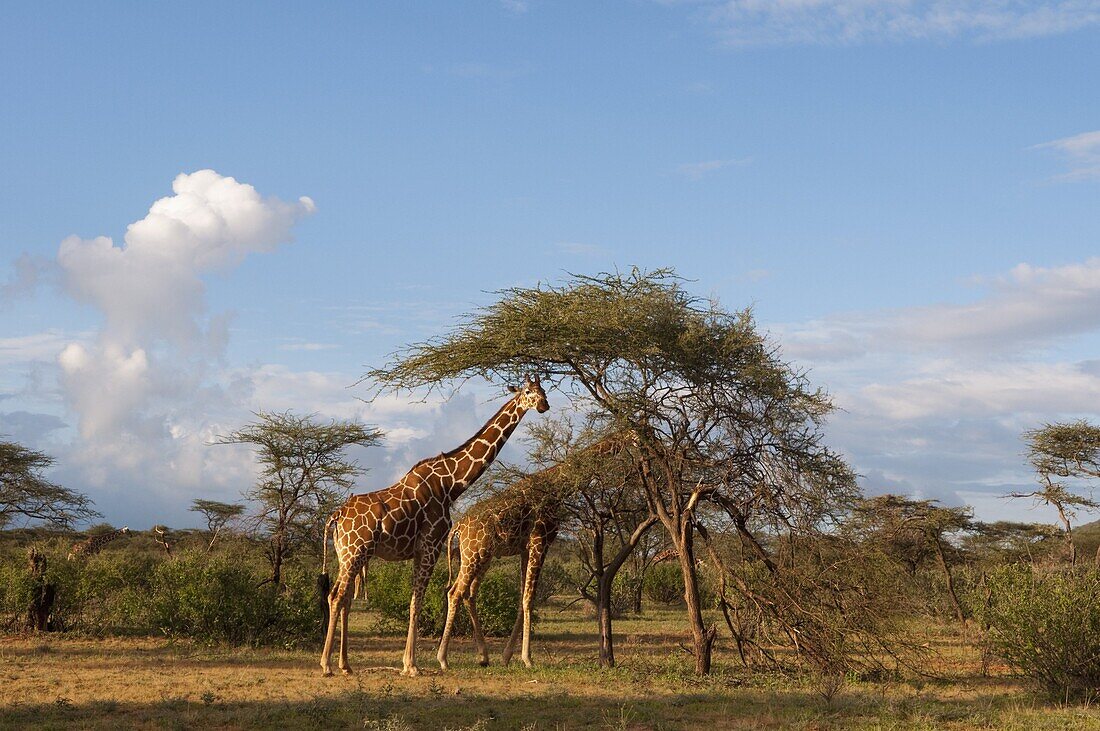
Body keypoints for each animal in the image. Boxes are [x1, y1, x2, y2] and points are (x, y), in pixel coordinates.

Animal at [319, 378, 550, 677]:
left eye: (544, 391)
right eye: (529, 392)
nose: (544, 406)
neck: (451, 484)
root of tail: (336, 516)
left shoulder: (423, 550)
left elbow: (414, 601)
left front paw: (409, 662)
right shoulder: (431, 545)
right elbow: (417, 602)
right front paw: (412, 665)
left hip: (347, 554)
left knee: (343, 597)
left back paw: (345, 664)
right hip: (355, 551)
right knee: (337, 596)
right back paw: (326, 665)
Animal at [433, 430, 633, 668]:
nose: (649, 440)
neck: (557, 487)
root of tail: (458, 527)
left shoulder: (524, 548)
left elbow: (522, 597)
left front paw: (507, 656)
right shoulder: (541, 540)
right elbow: (529, 597)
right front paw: (527, 658)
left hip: (481, 556)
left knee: (469, 594)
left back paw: (483, 656)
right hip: (474, 554)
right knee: (455, 592)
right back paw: (443, 659)